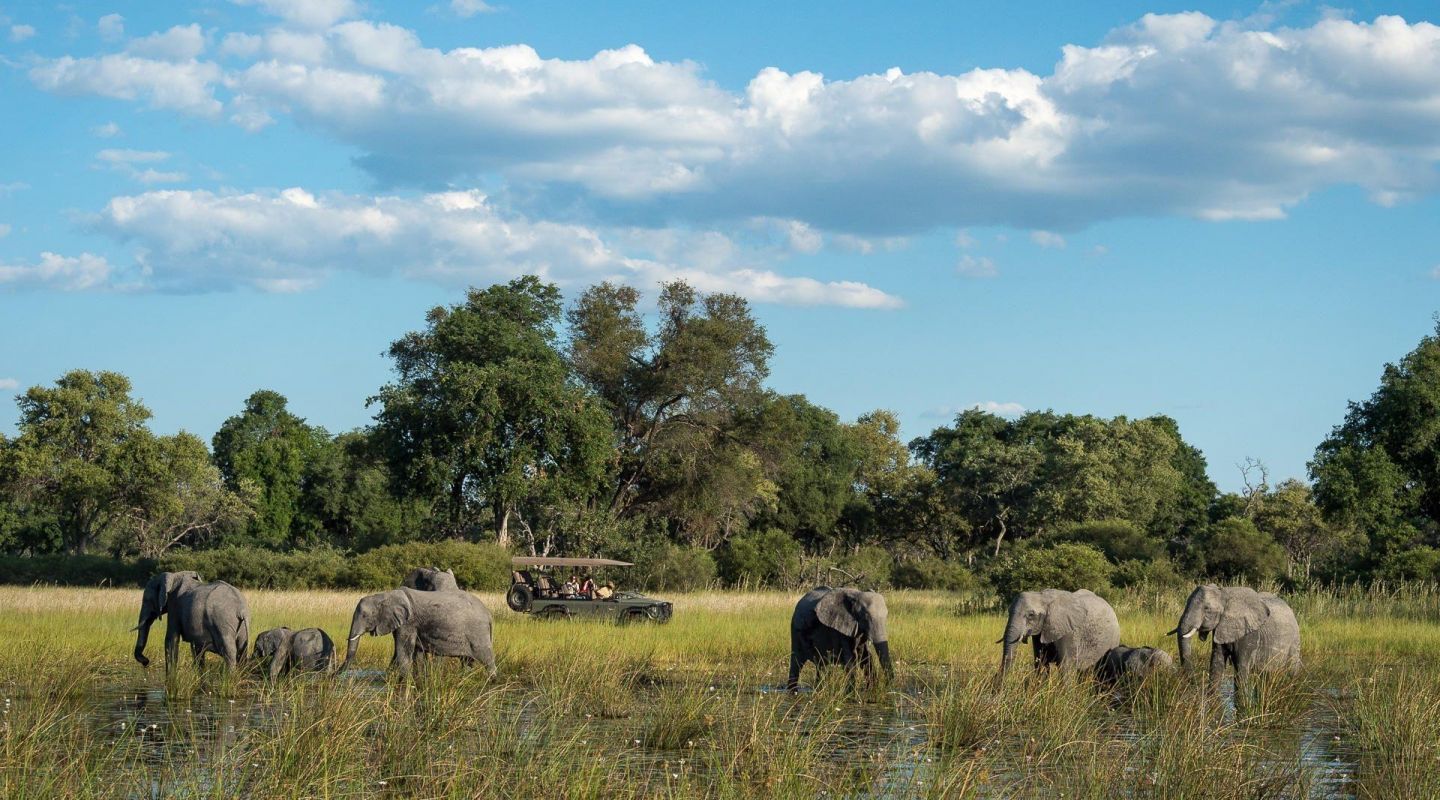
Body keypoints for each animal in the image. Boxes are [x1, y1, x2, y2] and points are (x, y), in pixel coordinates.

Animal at [339, 584, 498, 679]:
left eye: (365, 616)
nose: (335, 676)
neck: (385, 595)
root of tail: (489, 615)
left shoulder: (408, 622)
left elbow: (403, 651)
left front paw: (403, 680)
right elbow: (414, 652)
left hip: (478, 633)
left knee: (487, 659)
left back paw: (493, 680)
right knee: (467, 661)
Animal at [1169, 584, 1307, 690]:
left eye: (1207, 609)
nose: (1194, 685)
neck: (1223, 594)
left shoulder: (1250, 633)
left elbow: (1241, 670)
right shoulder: (1221, 628)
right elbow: (1216, 664)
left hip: (1294, 641)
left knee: (1292, 671)